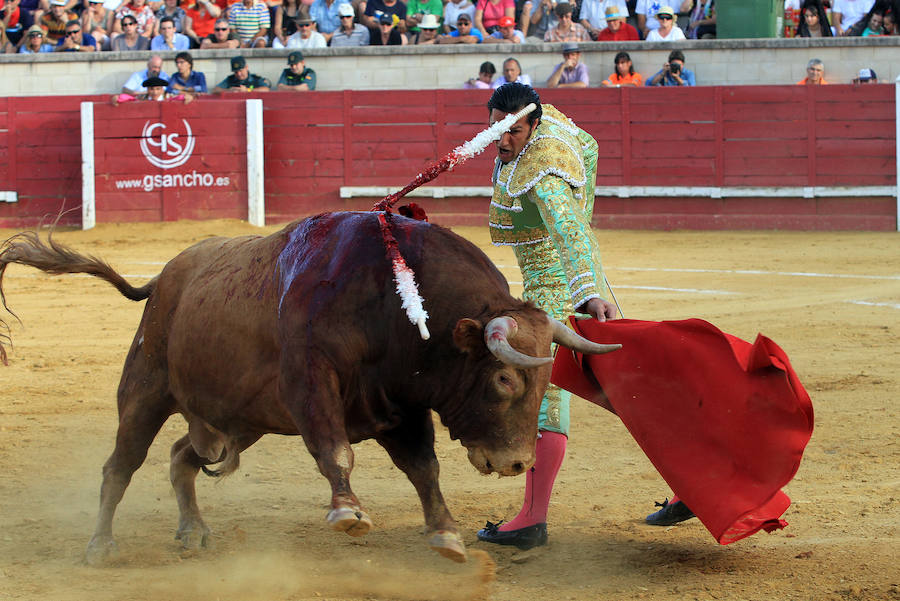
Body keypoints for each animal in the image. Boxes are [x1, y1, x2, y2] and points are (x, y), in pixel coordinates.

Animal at [0, 211, 620, 564]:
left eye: (547, 379)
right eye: (503, 377)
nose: (517, 463)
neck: (393, 301)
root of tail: (163, 279)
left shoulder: (401, 406)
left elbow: (424, 468)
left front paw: (445, 534)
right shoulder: (311, 384)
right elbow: (335, 450)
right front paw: (347, 512)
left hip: (238, 420)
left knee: (181, 457)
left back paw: (194, 532)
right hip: (147, 388)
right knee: (121, 465)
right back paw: (100, 546)